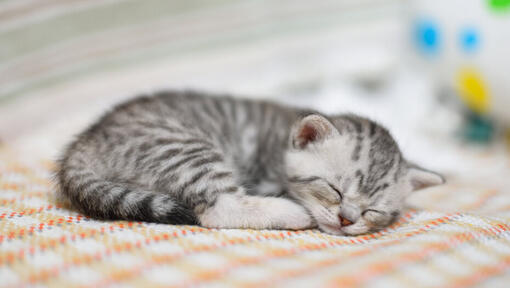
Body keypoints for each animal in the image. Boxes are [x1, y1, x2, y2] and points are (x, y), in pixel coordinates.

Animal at [57, 91, 444, 235]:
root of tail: (86, 141)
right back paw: (292, 213)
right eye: (334, 190)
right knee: (217, 209)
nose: (346, 219)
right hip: (183, 147)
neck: (280, 142)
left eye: (373, 211)